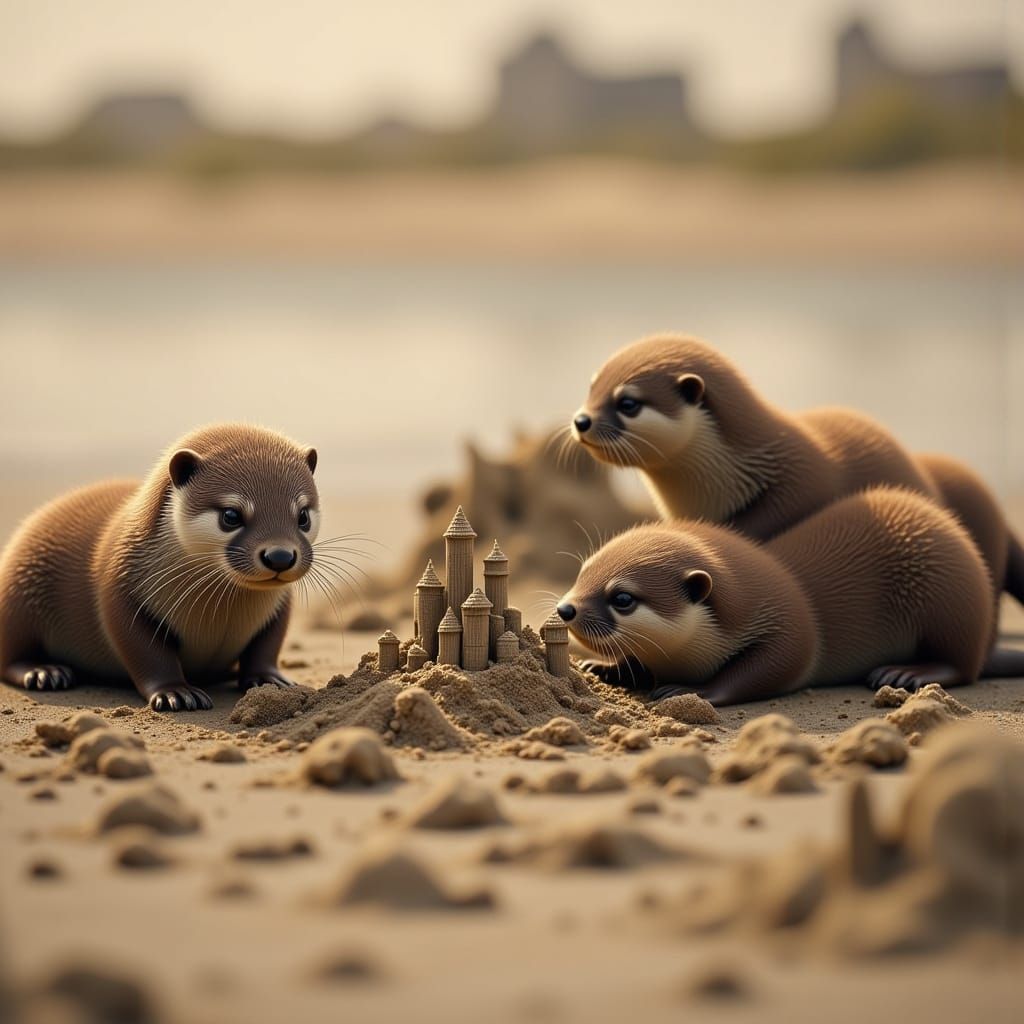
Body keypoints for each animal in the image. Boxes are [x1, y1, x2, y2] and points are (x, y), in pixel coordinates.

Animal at [0, 424, 320, 711]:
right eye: (231, 515)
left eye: (303, 516)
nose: (280, 556)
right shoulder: (119, 582)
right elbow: (143, 651)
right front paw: (175, 692)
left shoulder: (280, 603)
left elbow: (269, 642)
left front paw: (270, 679)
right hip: (18, 597)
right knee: (9, 656)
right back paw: (44, 672)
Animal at [556, 487, 994, 705]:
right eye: (582, 572)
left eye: (622, 598)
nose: (565, 609)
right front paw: (605, 667)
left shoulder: (786, 623)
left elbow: (782, 662)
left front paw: (695, 691)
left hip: (951, 601)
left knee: (963, 664)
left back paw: (906, 673)